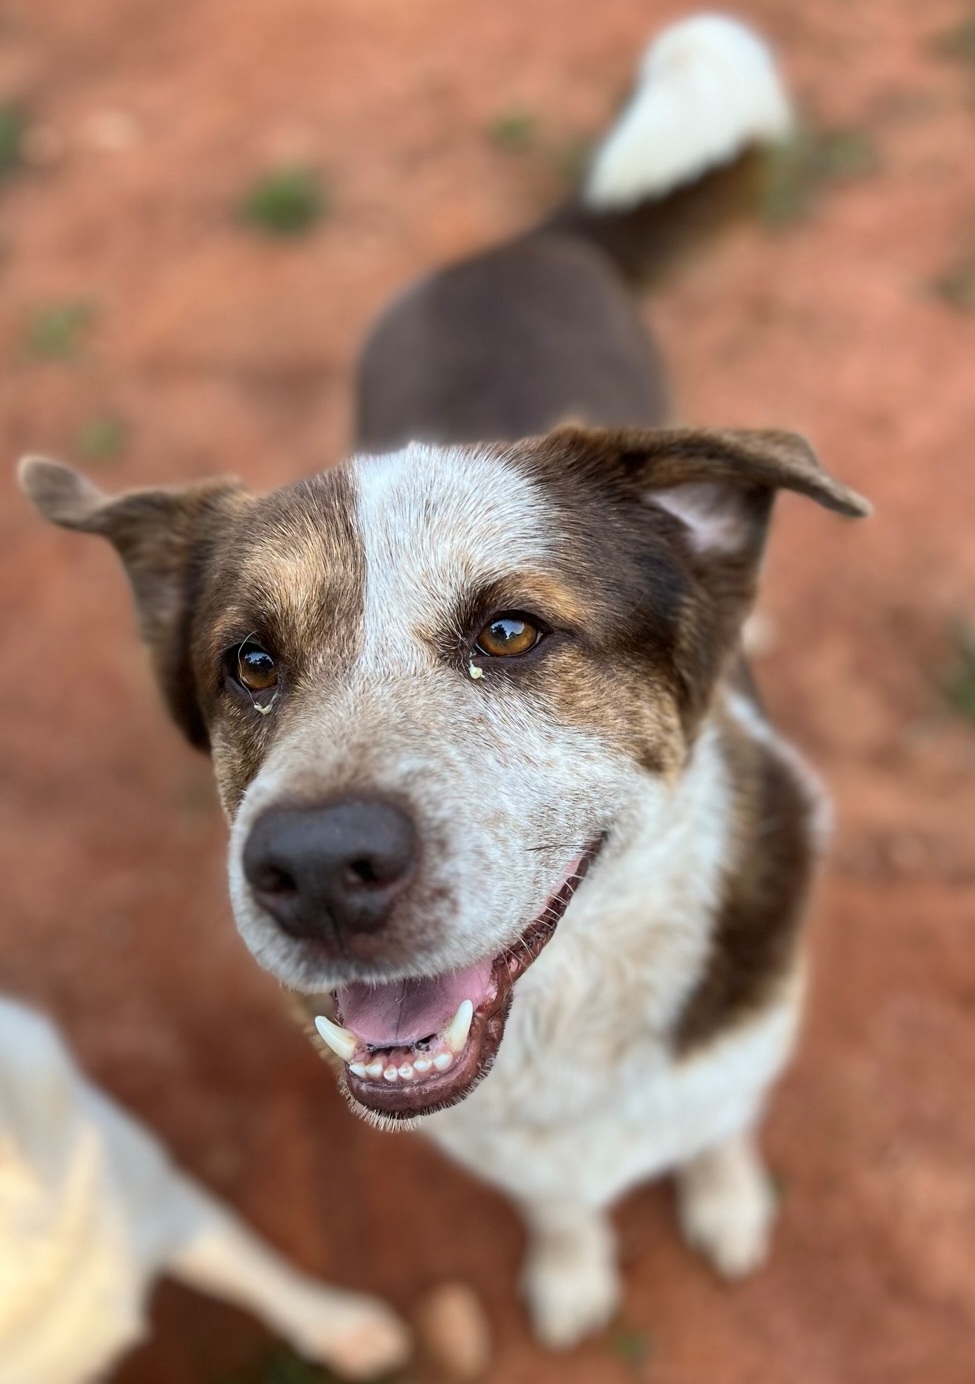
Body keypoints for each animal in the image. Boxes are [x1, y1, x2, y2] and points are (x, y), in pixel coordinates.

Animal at [19, 13, 869, 1350]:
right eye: (250, 663)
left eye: (513, 632)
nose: (315, 870)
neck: (574, 1017)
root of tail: (514, 247)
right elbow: (562, 1211)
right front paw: (574, 1272)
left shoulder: (733, 1060)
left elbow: (717, 1135)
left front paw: (728, 1206)